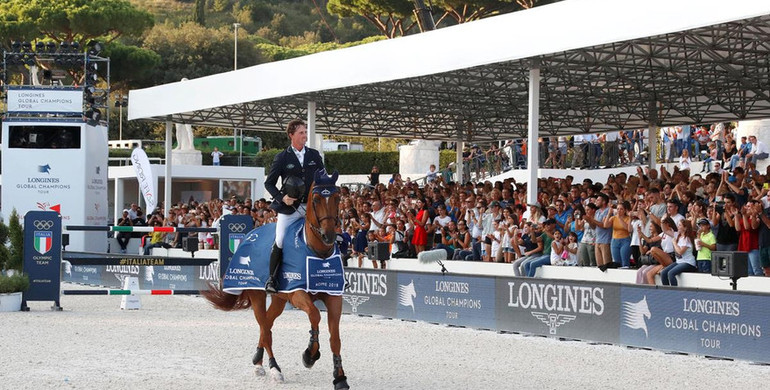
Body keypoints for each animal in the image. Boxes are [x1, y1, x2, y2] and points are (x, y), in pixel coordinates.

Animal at [204, 172, 348, 388]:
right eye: (316, 199)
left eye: (337, 198)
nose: (329, 236)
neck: (317, 252)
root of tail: (250, 234)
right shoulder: (296, 292)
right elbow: (315, 315)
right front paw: (310, 355)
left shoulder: (333, 296)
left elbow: (336, 338)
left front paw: (339, 378)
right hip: (257, 294)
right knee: (265, 327)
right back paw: (273, 368)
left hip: (280, 299)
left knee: (268, 324)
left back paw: (258, 360)